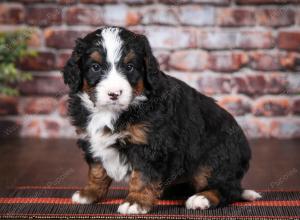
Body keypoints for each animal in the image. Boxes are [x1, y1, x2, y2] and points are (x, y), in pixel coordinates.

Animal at [61, 26, 260, 214]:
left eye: (129, 67)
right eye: (95, 67)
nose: (114, 94)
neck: (111, 112)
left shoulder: (151, 145)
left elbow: (142, 176)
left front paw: (135, 202)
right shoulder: (91, 139)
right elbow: (97, 170)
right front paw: (89, 193)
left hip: (214, 159)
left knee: (229, 188)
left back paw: (202, 198)